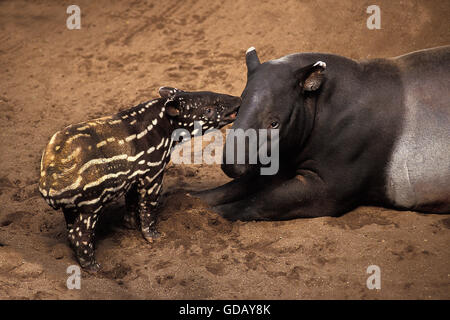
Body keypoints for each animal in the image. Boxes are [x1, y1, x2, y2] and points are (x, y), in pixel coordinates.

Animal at [198, 45, 450, 220]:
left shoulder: (336, 176)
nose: (231, 166)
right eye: (238, 110)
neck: (320, 103)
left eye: (274, 124)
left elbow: (261, 202)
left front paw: (209, 215)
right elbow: (237, 187)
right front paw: (192, 199)